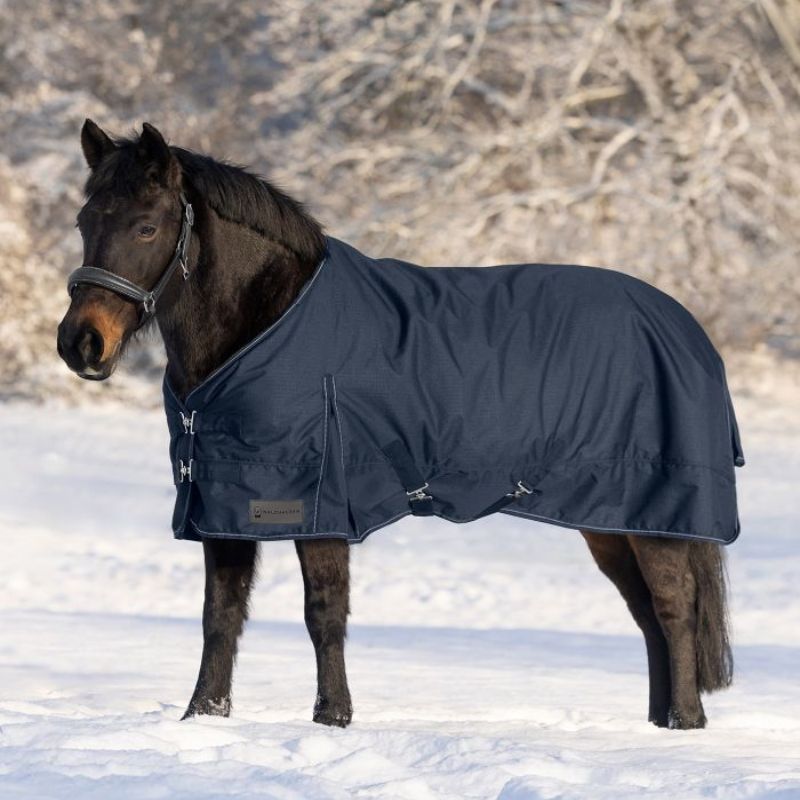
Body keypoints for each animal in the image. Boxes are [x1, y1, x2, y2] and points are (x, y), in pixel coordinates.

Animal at [57, 120, 733, 730]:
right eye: (85, 222)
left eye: (146, 226)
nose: (80, 343)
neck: (267, 326)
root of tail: (685, 328)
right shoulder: (223, 502)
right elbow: (219, 616)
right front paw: (203, 716)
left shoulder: (317, 503)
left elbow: (324, 612)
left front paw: (332, 717)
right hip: (611, 521)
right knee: (646, 614)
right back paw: (660, 723)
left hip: (652, 515)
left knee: (674, 607)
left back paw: (684, 723)